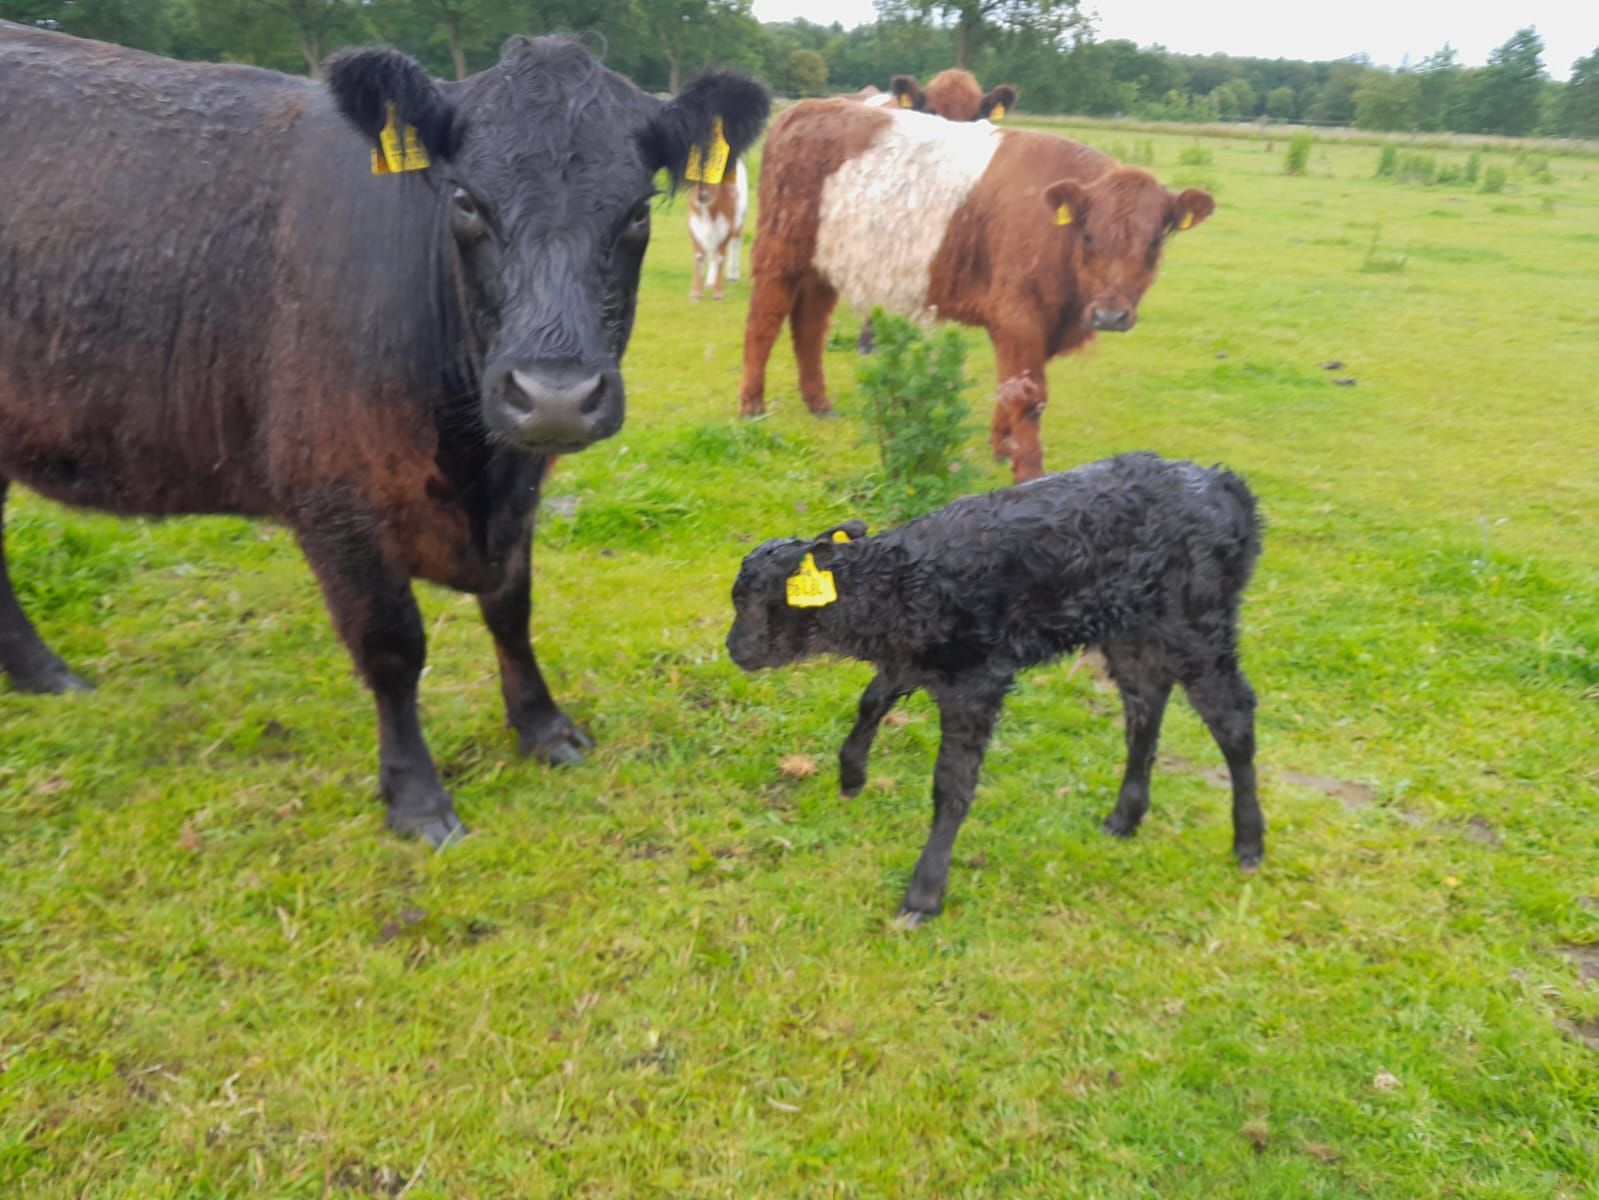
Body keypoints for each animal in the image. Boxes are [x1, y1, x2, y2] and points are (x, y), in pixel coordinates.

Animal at [687, 159, 748, 301]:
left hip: (740, 220)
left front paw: (718, 294)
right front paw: (696, 294)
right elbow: (699, 258)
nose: (702, 196)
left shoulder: (726, 227)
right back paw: (710, 281)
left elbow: (720, 257)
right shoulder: (694, 228)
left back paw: (733, 276)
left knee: (736, 245)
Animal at [737, 98, 1212, 482]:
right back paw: (752, 407)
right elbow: (1028, 395)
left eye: (1154, 242)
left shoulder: (1033, 326)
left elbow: (1009, 386)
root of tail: (804, 108)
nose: (1110, 315)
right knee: (764, 321)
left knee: (809, 326)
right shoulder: (1019, 315)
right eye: (1089, 236)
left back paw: (819, 403)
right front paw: (1029, 471)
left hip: (825, 265)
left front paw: (1003, 448)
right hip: (781, 252)